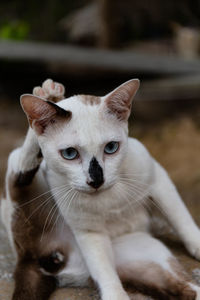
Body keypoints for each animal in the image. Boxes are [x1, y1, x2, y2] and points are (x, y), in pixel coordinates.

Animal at [1, 79, 200, 300]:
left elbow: (182, 220)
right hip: (17, 184)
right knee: (20, 172)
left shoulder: (158, 181)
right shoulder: (89, 231)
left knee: (187, 289)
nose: (96, 180)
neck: (110, 199)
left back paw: (50, 96)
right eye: (69, 153)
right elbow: (105, 271)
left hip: (153, 257)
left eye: (111, 147)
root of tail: (31, 260)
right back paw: (47, 96)